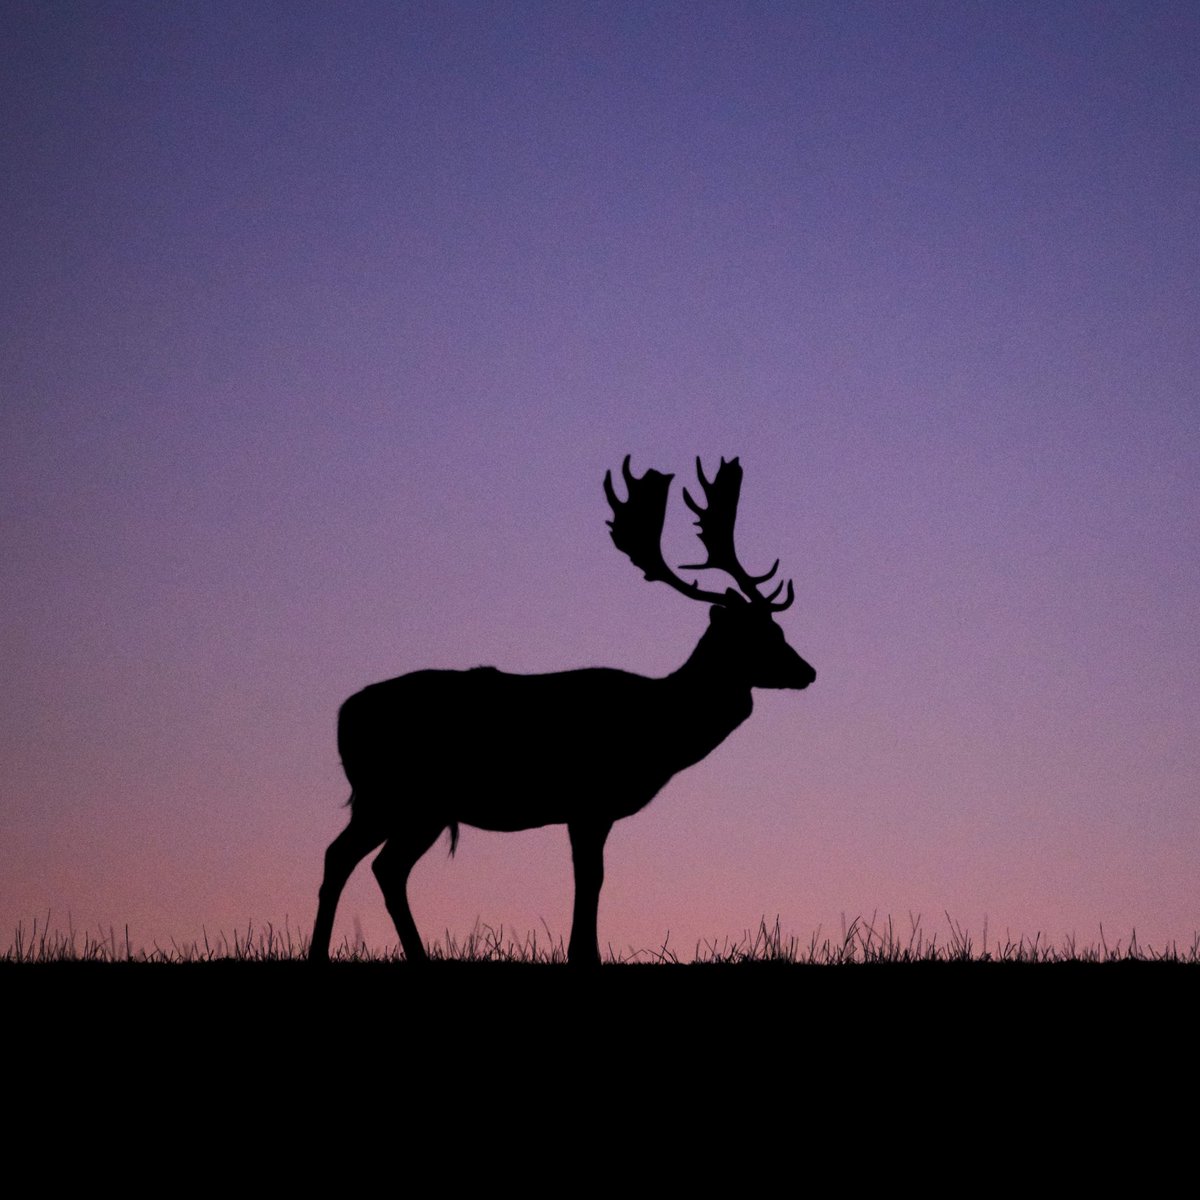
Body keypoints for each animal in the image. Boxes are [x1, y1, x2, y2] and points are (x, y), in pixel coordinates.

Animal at [310, 456, 816, 966]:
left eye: (778, 629)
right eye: (758, 636)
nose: (808, 671)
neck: (659, 727)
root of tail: (344, 715)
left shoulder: (591, 809)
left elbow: (589, 877)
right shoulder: (589, 799)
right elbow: (590, 878)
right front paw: (584, 955)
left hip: (417, 806)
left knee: (383, 866)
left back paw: (411, 955)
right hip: (391, 792)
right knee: (345, 856)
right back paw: (323, 954)